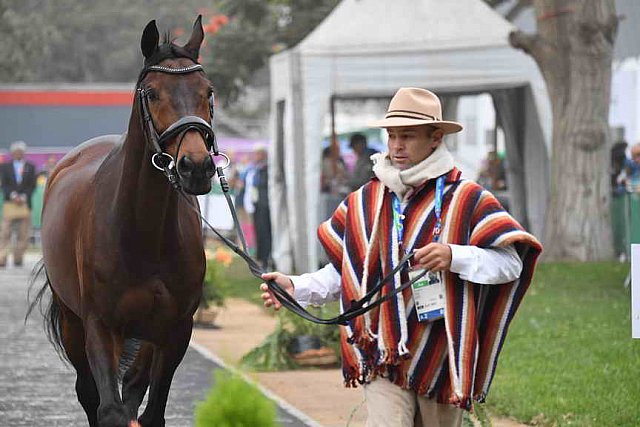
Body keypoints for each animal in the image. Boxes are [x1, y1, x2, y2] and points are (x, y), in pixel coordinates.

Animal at [28, 16, 215, 427]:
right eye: (152, 93)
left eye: (208, 91)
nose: (196, 167)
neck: (144, 232)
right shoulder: (101, 325)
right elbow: (109, 408)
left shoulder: (176, 329)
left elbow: (149, 408)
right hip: (73, 322)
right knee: (89, 391)